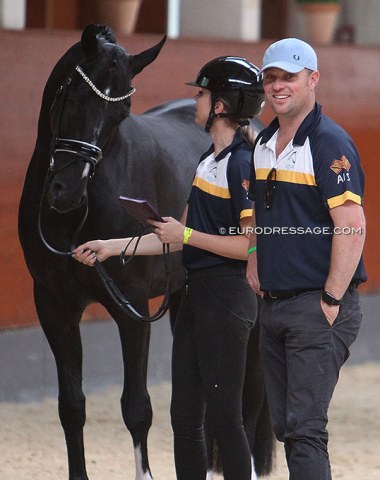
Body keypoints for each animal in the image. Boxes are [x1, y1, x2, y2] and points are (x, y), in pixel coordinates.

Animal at [18, 25, 274, 480]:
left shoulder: (132, 308)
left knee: (248, 402)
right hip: (182, 298)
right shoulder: (53, 305)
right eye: (75, 97)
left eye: (121, 115)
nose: (67, 193)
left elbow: (136, 408)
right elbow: (71, 406)